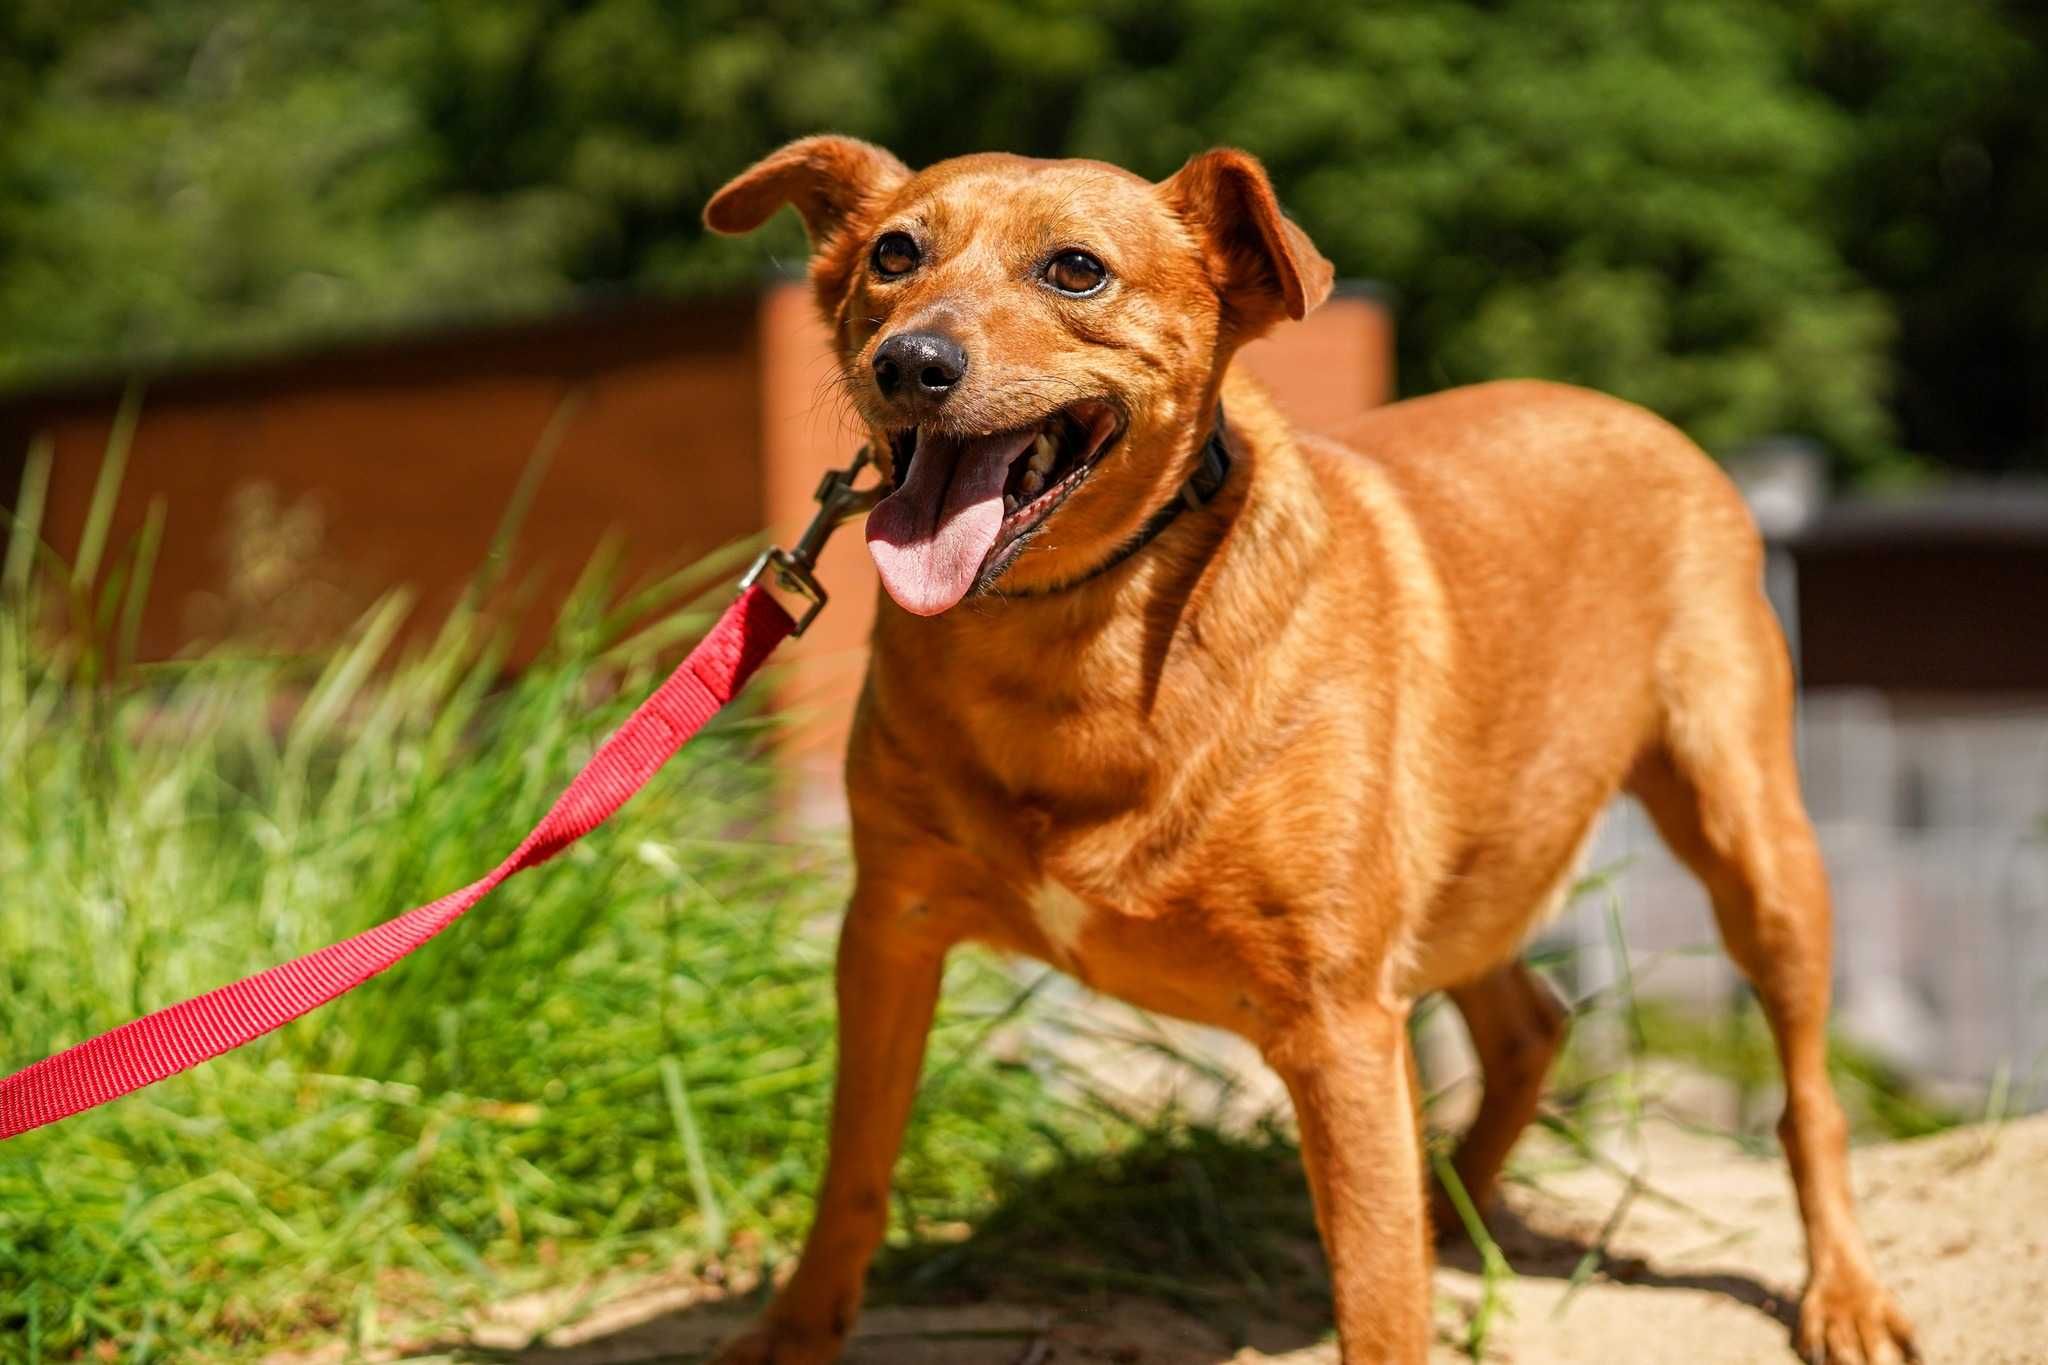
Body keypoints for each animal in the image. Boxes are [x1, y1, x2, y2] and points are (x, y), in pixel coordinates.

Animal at [696, 139, 1908, 1365]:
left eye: (1075, 269)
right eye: (894, 254)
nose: (910, 361)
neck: (1066, 644)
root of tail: (1621, 410)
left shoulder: (1339, 1023)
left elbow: (1373, 1297)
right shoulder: (888, 935)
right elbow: (853, 1167)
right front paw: (792, 1333)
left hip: (1750, 842)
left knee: (1807, 1098)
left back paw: (1842, 1293)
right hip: (1456, 876)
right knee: (1529, 1028)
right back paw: (1446, 1210)